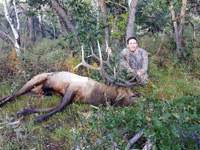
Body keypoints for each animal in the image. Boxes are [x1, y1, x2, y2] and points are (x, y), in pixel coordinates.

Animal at [0, 42, 141, 122]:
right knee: (15, 94)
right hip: (37, 79)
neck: (93, 96)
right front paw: (38, 117)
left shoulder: (72, 98)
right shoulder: (72, 88)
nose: (142, 97)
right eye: (133, 95)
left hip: (37, 91)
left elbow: (56, 106)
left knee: (15, 94)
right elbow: (59, 107)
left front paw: (27, 110)